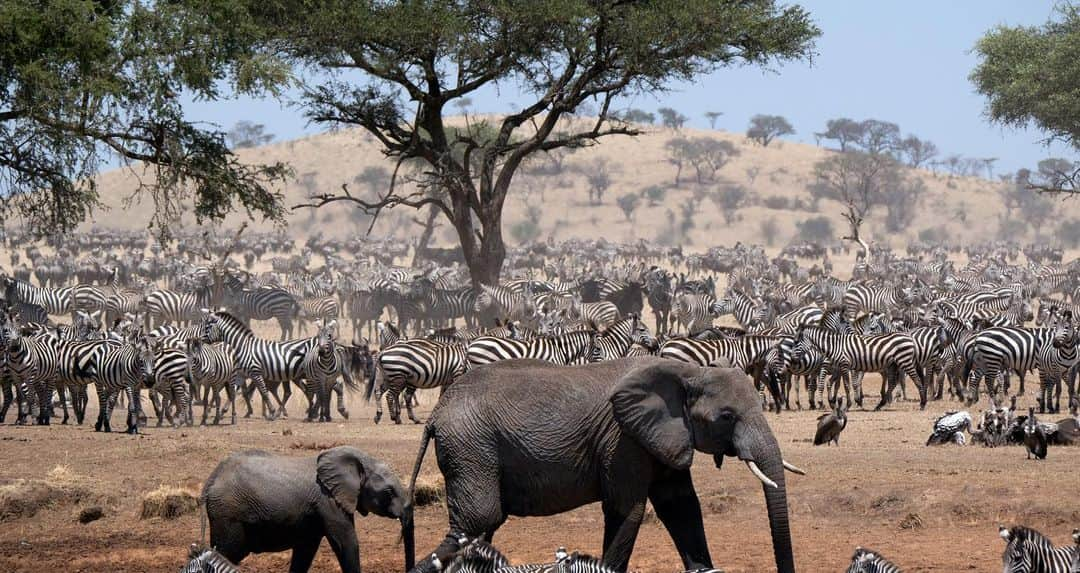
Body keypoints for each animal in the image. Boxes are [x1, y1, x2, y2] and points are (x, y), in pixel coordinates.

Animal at [203, 448, 416, 573]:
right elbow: (346, 543)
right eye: (389, 492)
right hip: (228, 514)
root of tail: (211, 479)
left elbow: (305, 551)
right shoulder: (328, 501)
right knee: (225, 553)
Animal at [406, 356, 803, 569]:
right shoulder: (623, 441)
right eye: (726, 417)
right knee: (477, 521)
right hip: (472, 447)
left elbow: (681, 507)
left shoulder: (664, 437)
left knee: (477, 531)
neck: (688, 371)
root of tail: (436, 414)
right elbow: (628, 509)